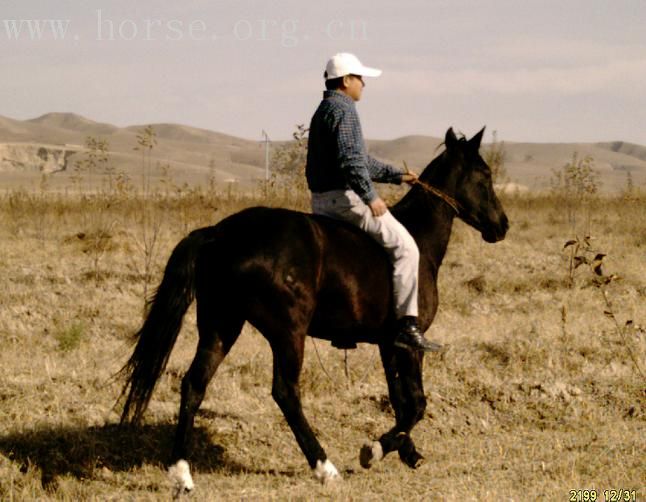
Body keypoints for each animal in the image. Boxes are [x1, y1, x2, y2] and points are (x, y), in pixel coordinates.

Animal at [117, 125, 512, 490]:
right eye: (484, 176)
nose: (502, 225)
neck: (419, 240)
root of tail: (221, 233)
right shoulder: (409, 345)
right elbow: (416, 402)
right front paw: (375, 449)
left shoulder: (387, 344)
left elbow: (400, 400)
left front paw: (406, 451)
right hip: (287, 333)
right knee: (286, 393)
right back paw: (324, 467)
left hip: (221, 325)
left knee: (194, 385)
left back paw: (181, 473)